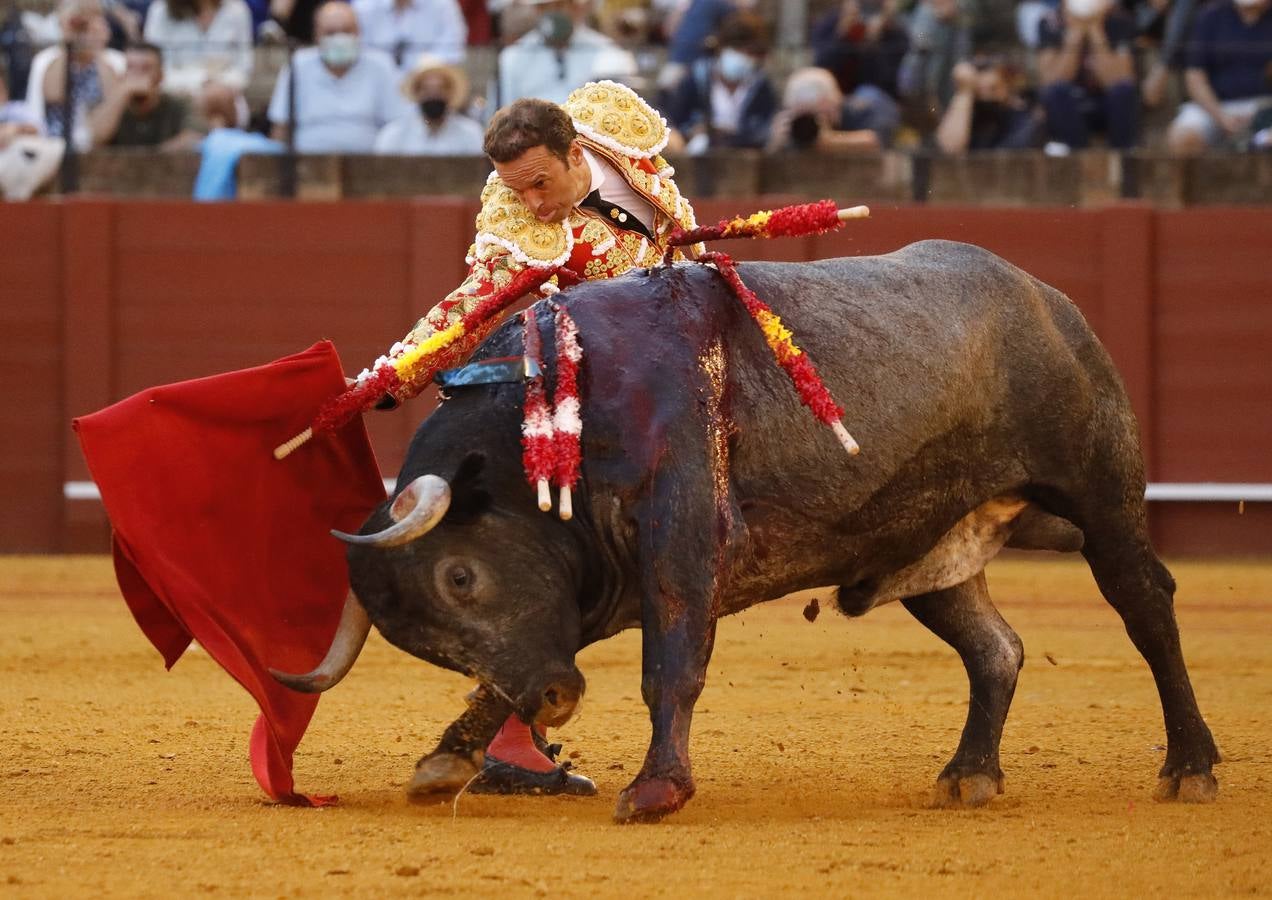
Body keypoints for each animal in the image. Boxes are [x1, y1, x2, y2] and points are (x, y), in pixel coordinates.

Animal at [273, 240, 1216, 823]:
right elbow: (527, 660)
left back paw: (1190, 767)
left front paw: (656, 791)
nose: (554, 701)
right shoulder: (583, 593)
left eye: (460, 577)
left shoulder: (681, 539)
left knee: (1147, 607)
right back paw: (969, 775)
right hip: (926, 543)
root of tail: (1044, 297)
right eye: (419, 639)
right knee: (996, 648)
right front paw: (449, 759)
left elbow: (671, 666)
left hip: (1101, 493)